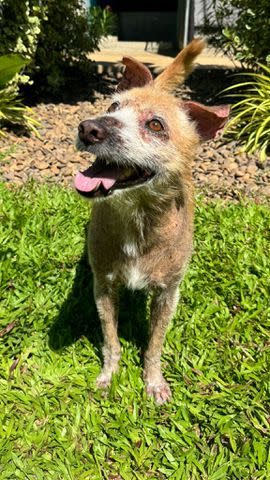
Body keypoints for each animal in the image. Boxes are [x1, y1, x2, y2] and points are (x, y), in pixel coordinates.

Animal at [75, 39, 229, 404]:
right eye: (112, 107)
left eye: (156, 125)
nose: (89, 128)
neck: (138, 219)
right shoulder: (104, 287)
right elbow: (111, 340)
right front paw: (108, 374)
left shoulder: (167, 294)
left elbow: (154, 345)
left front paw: (153, 380)